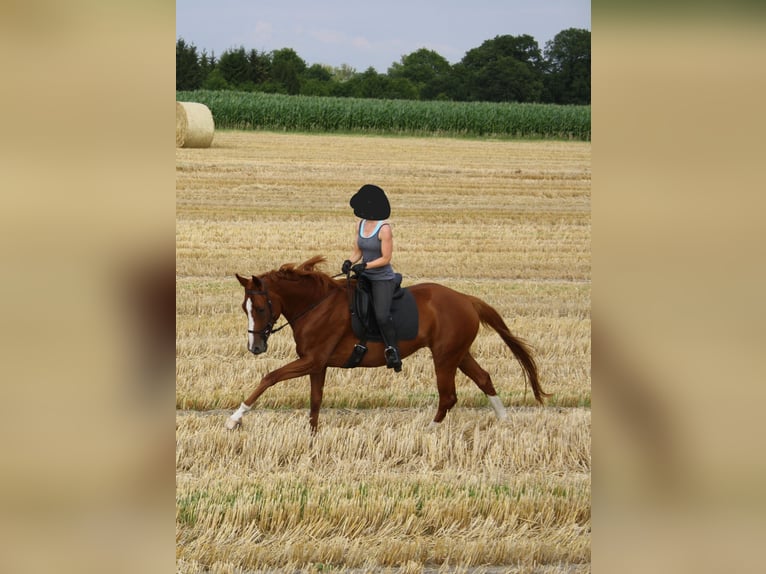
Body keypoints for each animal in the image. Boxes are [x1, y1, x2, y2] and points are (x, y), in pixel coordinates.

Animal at [226, 256, 548, 431]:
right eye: (245, 309)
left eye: (261, 308)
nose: (255, 348)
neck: (316, 304)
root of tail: (467, 299)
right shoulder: (318, 364)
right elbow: (315, 401)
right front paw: (312, 436)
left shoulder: (311, 360)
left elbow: (269, 378)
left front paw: (235, 418)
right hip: (459, 353)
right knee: (484, 378)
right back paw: (505, 422)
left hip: (444, 357)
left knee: (448, 396)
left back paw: (429, 431)